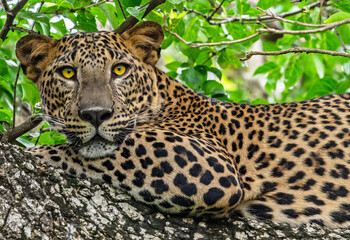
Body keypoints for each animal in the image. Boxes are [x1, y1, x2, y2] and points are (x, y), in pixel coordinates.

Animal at [15, 20, 350, 227]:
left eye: (120, 70)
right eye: (68, 74)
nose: (96, 114)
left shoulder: (210, 164)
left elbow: (105, 149)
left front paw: (33, 153)